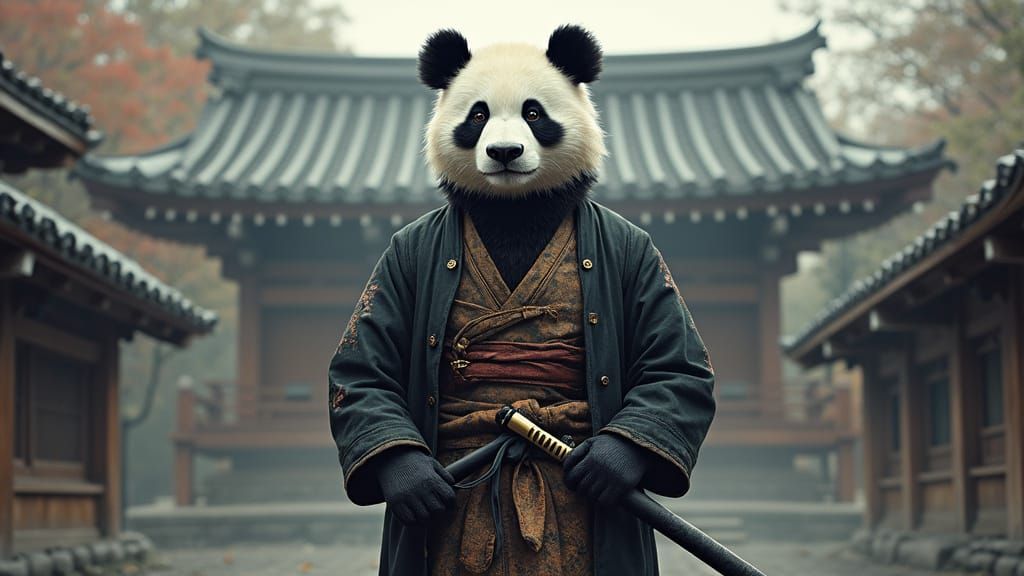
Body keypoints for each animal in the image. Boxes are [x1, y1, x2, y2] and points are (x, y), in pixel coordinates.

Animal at [328, 25, 716, 576]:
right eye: (478, 115)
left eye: (534, 113)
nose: (505, 152)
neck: (514, 210)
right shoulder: (402, 255)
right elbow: (364, 364)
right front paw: (412, 480)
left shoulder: (638, 251)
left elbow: (674, 363)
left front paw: (607, 464)